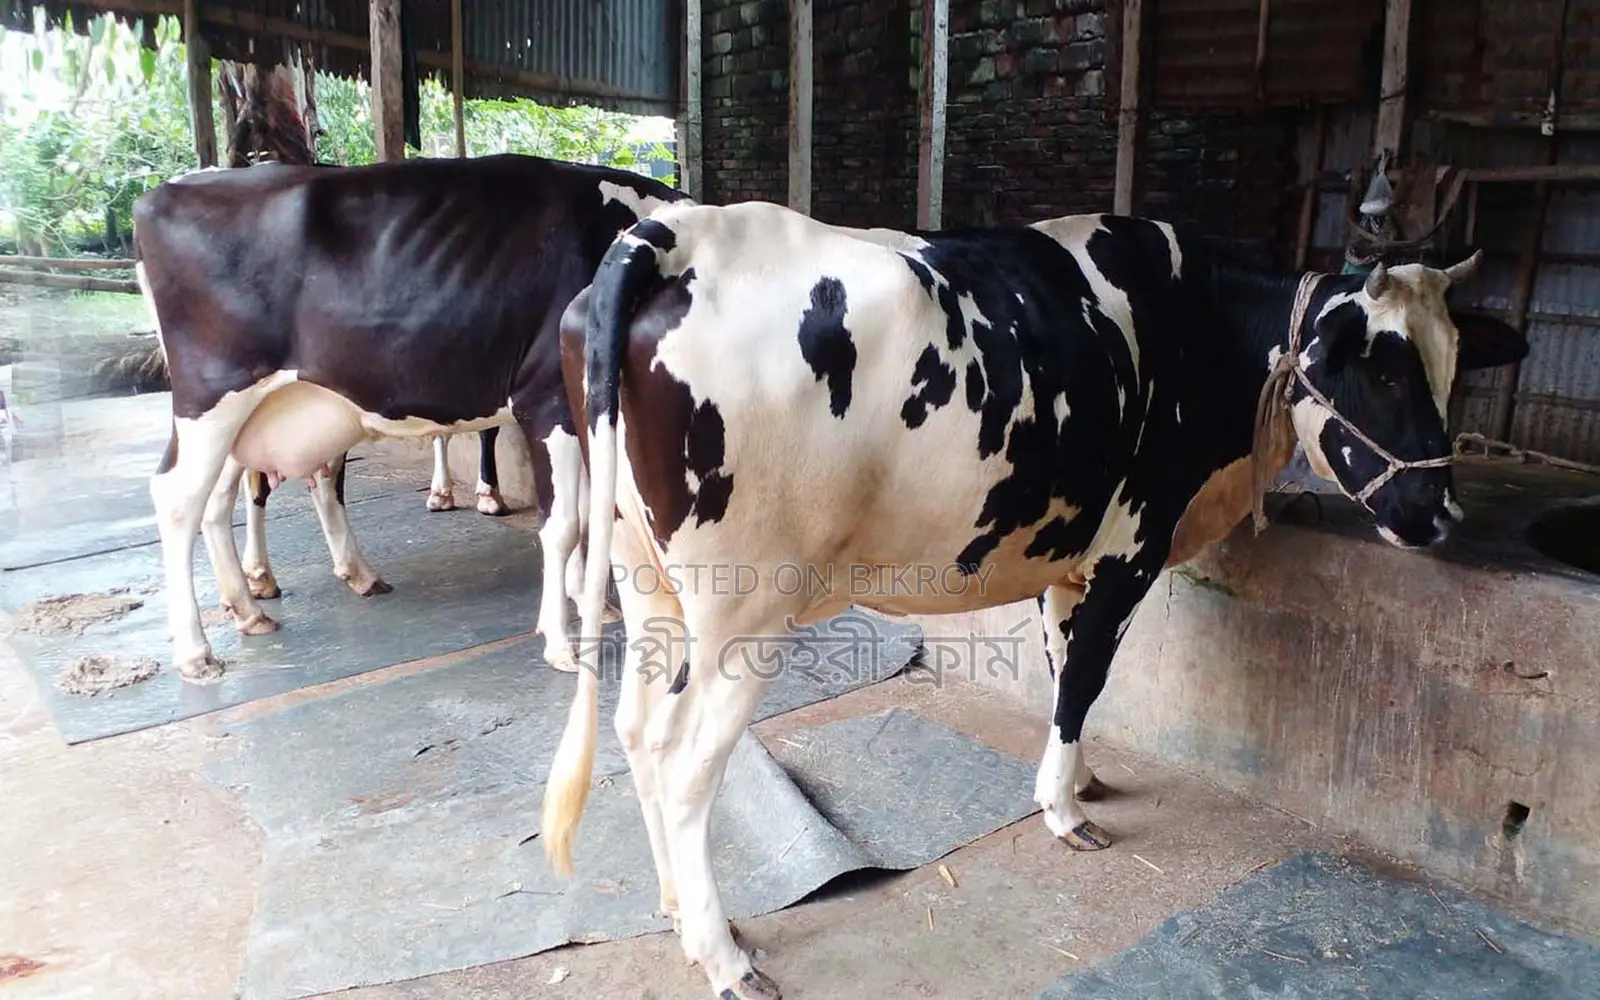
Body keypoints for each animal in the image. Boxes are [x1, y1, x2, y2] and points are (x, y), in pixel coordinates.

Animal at [131, 152, 690, 684]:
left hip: (246, 414)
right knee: (179, 498)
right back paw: (196, 652)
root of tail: (165, 191)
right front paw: (561, 642)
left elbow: (586, 513)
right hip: (211, 397)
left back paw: (253, 606)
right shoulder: (546, 399)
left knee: (219, 500)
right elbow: (564, 524)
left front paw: (589, 601)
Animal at [539, 202, 1528, 999]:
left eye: (1451, 368)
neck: (1199, 328)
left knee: (636, 730)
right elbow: (1087, 678)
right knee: (683, 763)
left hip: (645, 577)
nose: (1442, 514)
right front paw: (1066, 811)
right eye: (1385, 372)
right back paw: (723, 955)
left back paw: (676, 908)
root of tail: (675, 231)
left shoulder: (1068, 559)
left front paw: (1079, 776)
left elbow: (1060, 674)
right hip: (742, 611)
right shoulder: (1131, 551)